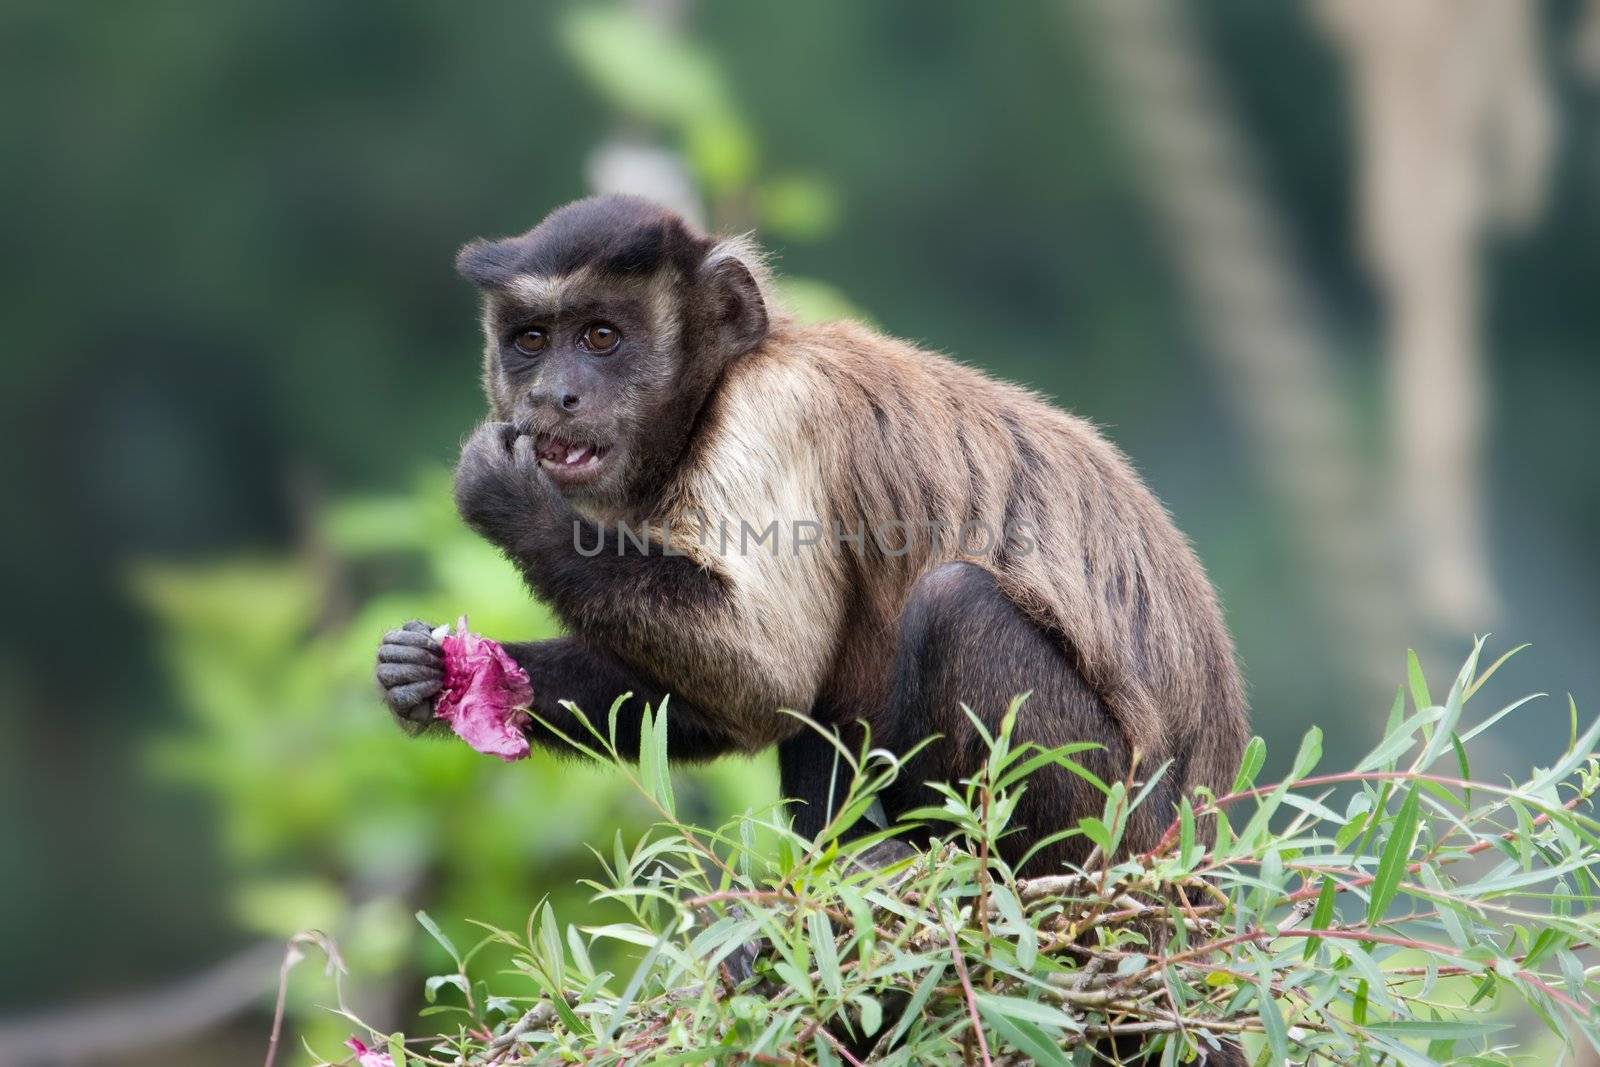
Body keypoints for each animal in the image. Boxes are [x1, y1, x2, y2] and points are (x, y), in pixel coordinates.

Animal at [374, 195, 1248, 883]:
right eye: (530, 340)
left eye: (599, 337)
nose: (554, 395)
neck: (714, 394)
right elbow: (736, 710)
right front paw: (437, 674)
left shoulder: (774, 411)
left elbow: (770, 672)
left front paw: (513, 501)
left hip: (1117, 827)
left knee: (952, 606)